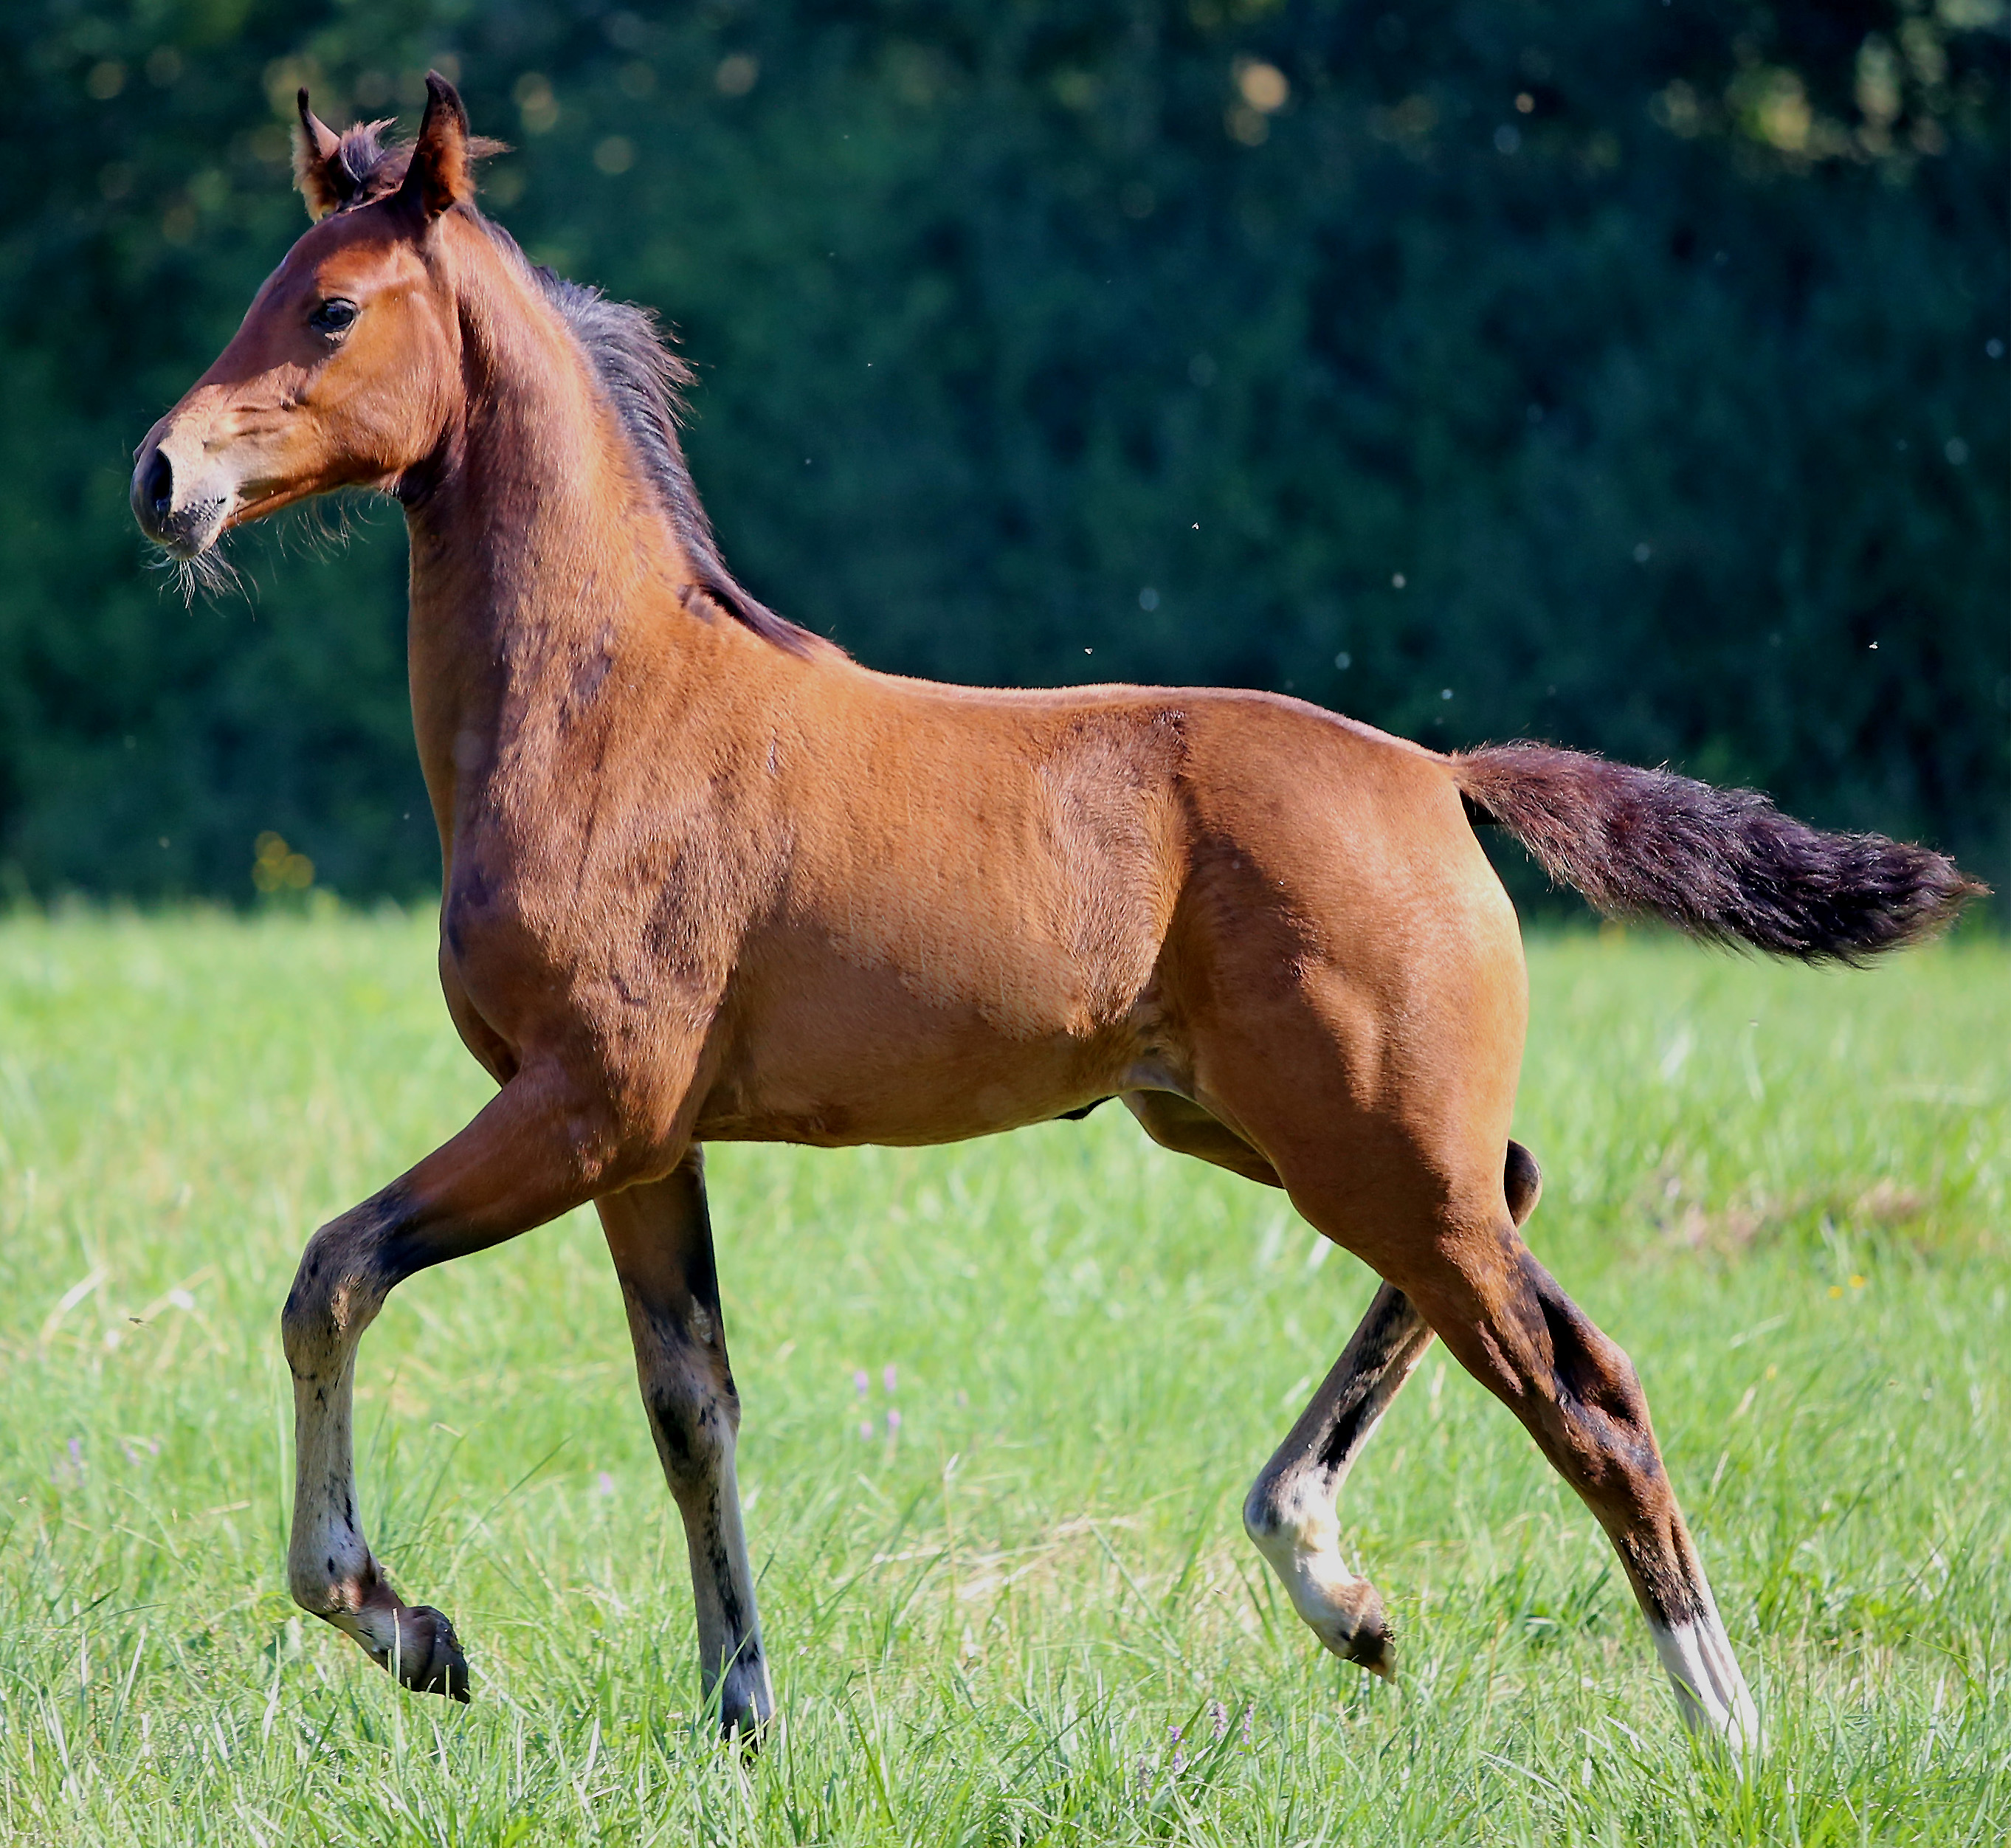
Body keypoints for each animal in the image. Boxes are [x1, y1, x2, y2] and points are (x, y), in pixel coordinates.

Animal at [129, 83, 1979, 1745]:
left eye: (335, 306)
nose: (160, 474)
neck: (609, 708)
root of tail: (1435, 773)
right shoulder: (647, 1144)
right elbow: (690, 1406)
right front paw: (739, 1711)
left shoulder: (587, 1103)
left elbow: (331, 1274)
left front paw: (406, 1624)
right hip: (1260, 1124)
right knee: (1515, 1204)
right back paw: (1334, 1582)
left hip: (1363, 1145)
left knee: (1584, 1389)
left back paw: (1720, 1726)